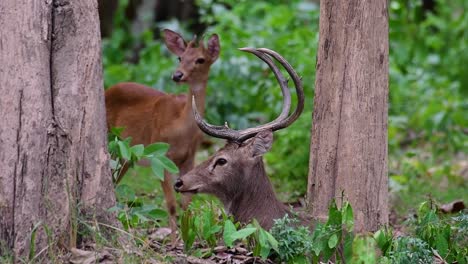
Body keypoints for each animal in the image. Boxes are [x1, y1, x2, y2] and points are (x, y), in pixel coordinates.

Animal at [105, 28, 221, 237]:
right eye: (180, 57)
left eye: (200, 60)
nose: (177, 75)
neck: (180, 128)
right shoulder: (161, 157)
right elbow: (171, 205)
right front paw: (175, 240)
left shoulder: (189, 158)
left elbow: (186, 204)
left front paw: (187, 238)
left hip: (125, 154)